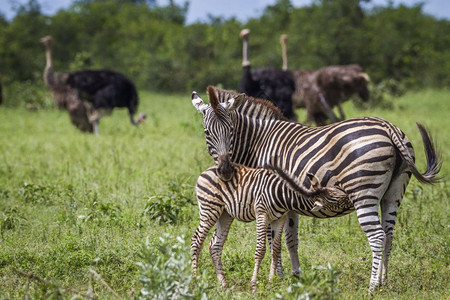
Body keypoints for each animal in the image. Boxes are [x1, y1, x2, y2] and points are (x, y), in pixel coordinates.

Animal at [191, 163, 348, 292]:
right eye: (337, 199)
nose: (351, 198)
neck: (284, 196)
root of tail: (207, 170)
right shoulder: (262, 214)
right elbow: (261, 250)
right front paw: (254, 286)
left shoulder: (279, 218)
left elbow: (276, 250)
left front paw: (271, 282)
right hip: (209, 208)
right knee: (196, 241)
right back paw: (195, 281)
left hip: (225, 213)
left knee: (214, 246)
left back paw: (224, 285)